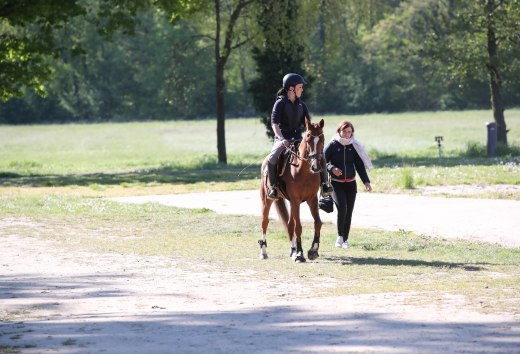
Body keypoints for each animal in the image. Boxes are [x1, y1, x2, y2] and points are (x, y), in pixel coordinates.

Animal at [258, 117, 322, 262]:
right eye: (308, 138)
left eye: (322, 138)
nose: (315, 166)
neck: (303, 171)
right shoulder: (296, 200)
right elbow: (298, 227)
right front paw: (300, 254)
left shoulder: (312, 199)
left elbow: (317, 222)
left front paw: (313, 250)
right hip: (267, 200)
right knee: (265, 222)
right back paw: (263, 251)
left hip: (292, 203)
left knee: (289, 224)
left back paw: (292, 250)